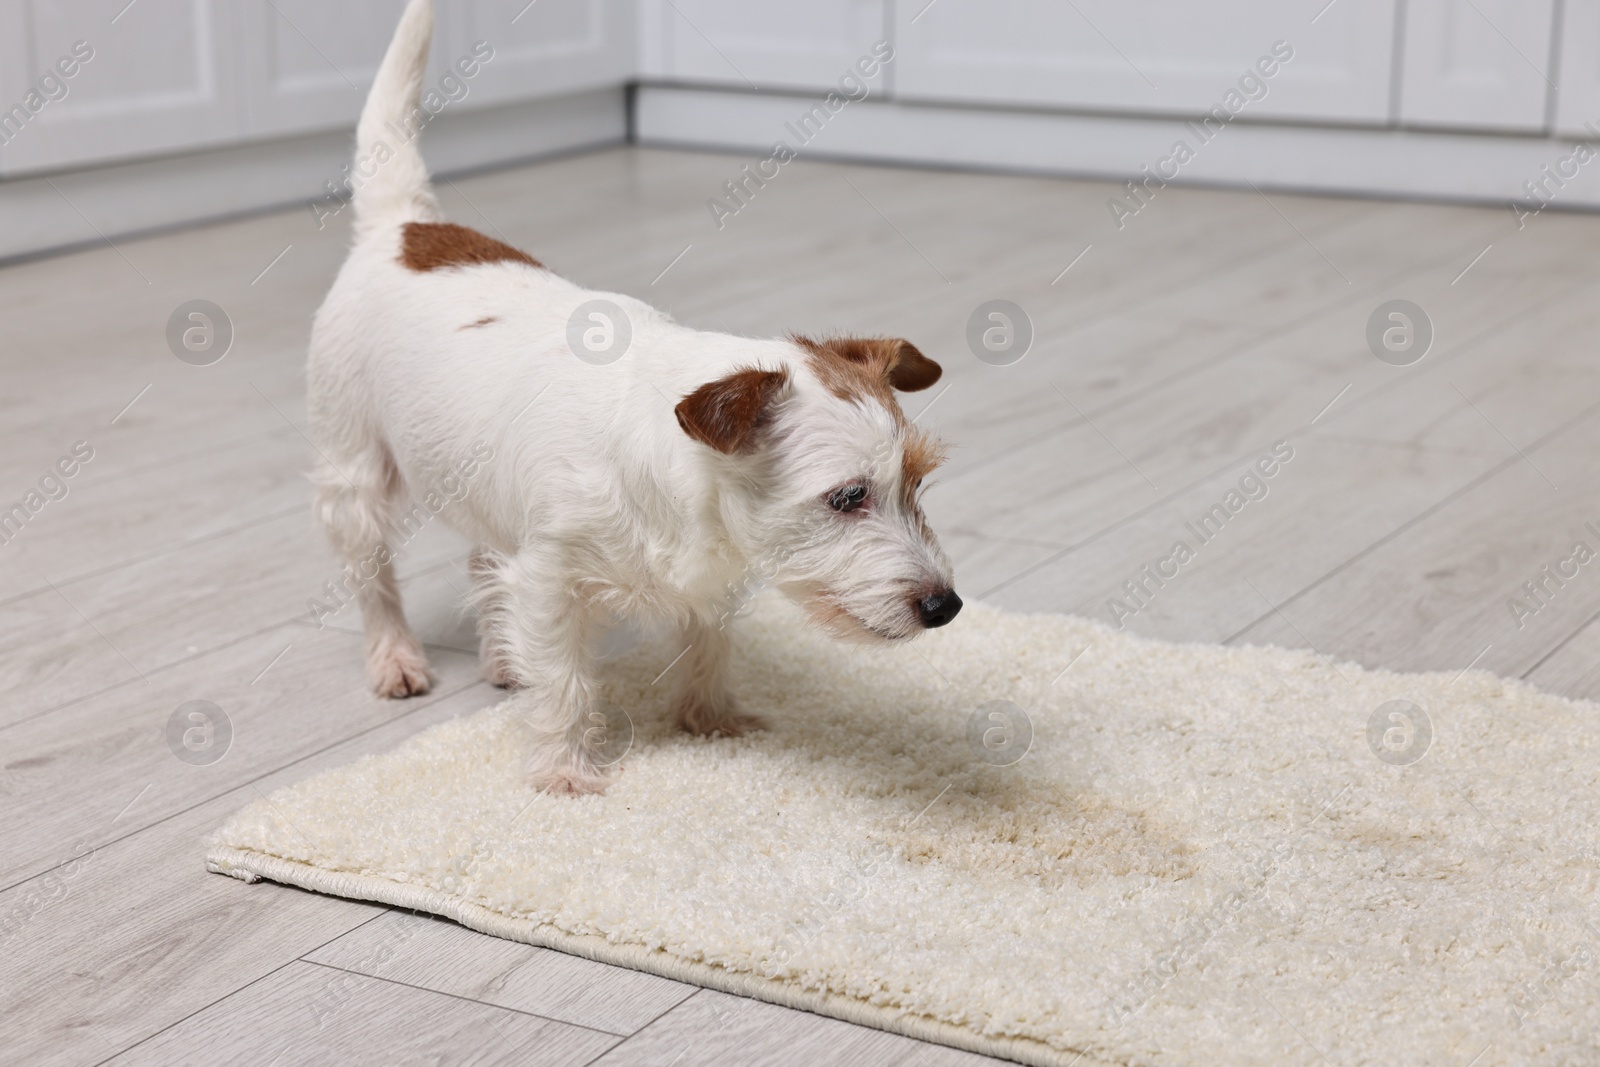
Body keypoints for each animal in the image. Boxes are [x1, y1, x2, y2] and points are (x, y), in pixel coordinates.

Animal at [308, 0, 960, 793]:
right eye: (846, 497)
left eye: (915, 484)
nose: (946, 605)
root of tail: (404, 224)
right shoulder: (551, 579)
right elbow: (564, 681)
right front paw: (564, 770)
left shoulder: (704, 584)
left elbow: (708, 645)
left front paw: (710, 718)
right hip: (355, 476)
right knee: (374, 579)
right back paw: (396, 657)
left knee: (484, 563)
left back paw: (502, 656)